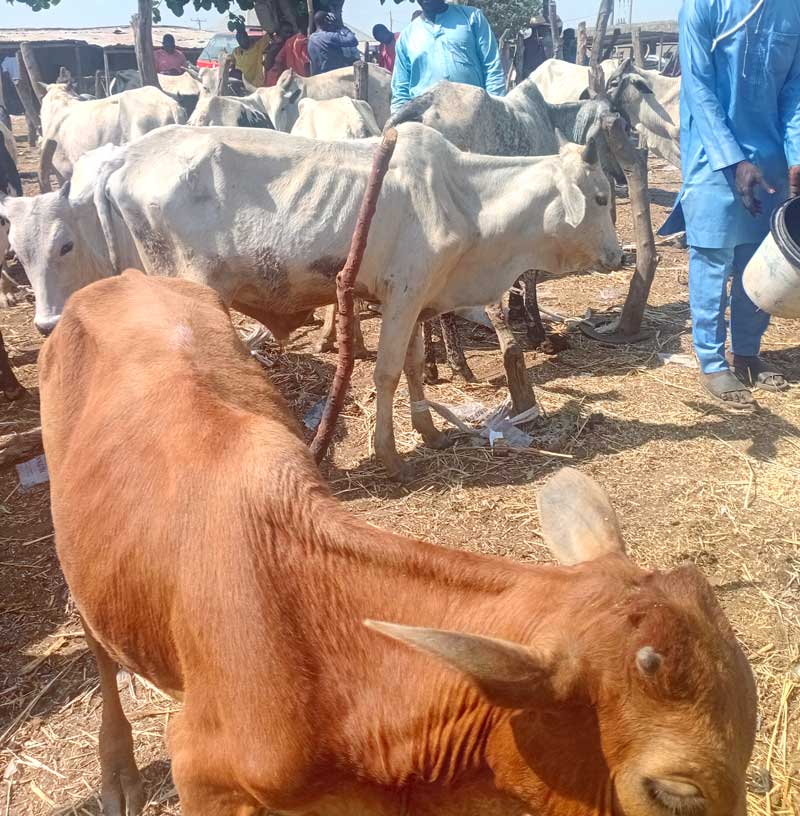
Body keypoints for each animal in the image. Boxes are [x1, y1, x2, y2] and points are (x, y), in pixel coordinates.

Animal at [3, 123, 620, 479]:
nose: (618, 254)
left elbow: (417, 364)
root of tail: (122, 160)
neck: (463, 197)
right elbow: (388, 372)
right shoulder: (402, 295)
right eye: (599, 196)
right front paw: (390, 455)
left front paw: (429, 431)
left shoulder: (414, 296)